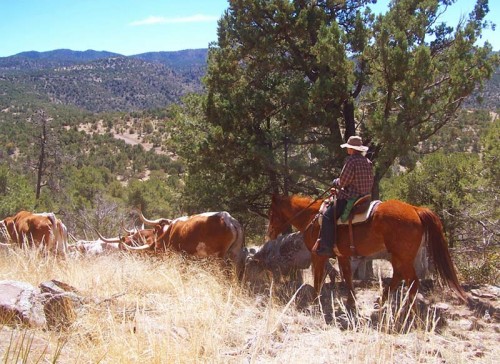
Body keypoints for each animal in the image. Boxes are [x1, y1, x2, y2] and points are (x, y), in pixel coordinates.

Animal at [268, 195, 466, 306]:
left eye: (272, 212)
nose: (269, 233)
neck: (313, 217)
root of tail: (415, 209)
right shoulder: (342, 256)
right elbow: (347, 277)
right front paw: (351, 302)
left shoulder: (318, 256)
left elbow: (318, 279)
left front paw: (315, 300)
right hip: (397, 256)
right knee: (399, 276)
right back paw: (383, 300)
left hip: (404, 257)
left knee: (413, 282)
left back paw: (408, 311)